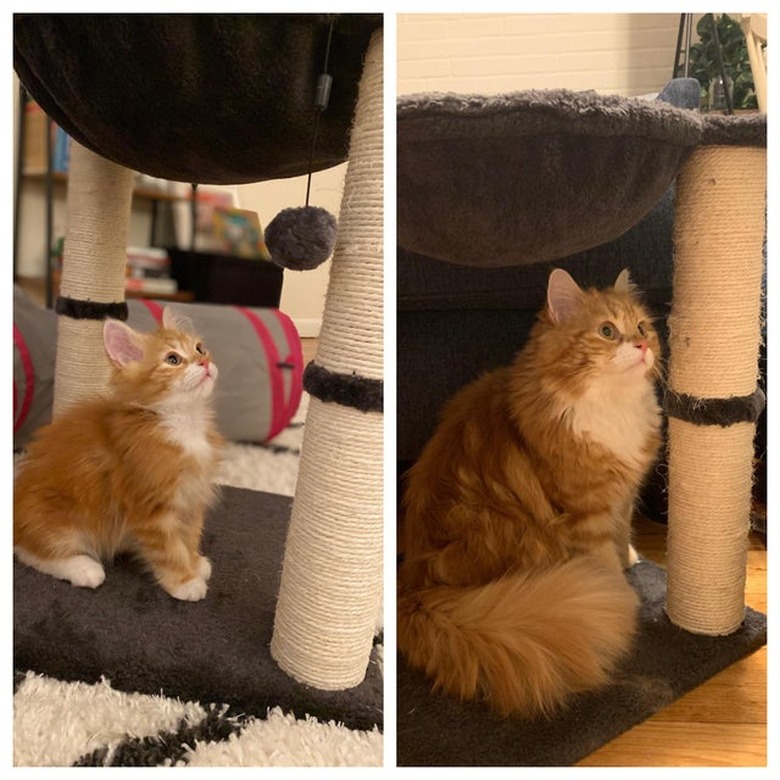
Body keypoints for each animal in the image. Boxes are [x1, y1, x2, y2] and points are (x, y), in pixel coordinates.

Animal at [13, 308, 224, 600]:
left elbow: (189, 534)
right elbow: (168, 548)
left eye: (199, 348)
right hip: (57, 518)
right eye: (172, 359)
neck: (184, 422)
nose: (204, 362)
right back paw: (83, 567)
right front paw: (184, 581)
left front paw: (193, 561)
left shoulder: (192, 497)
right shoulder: (149, 506)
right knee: (29, 549)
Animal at [400, 268, 660, 720]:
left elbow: (622, 532)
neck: (612, 406)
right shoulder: (585, 510)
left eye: (642, 328)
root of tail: (414, 589)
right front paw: (617, 592)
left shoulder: (622, 495)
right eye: (608, 331)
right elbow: (603, 556)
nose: (642, 345)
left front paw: (629, 559)